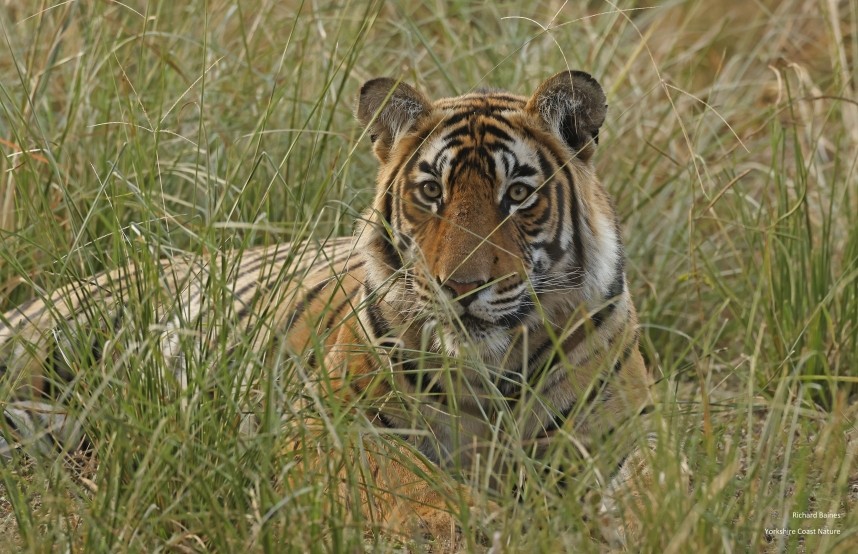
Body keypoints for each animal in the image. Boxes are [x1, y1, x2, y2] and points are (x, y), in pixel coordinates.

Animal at [0, 70, 658, 548]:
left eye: (518, 195)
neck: (491, 371)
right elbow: (406, 478)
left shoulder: (625, 433)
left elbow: (650, 489)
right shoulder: (333, 424)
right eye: (431, 192)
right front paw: (472, 523)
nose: (461, 286)